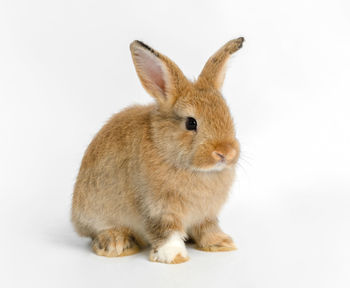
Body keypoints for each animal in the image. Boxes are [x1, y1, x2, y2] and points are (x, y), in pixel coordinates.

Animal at [72, 36, 243, 264]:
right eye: (191, 123)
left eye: (228, 115)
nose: (226, 153)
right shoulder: (157, 208)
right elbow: (167, 232)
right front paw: (174, 256)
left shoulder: (206, 214)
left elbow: (207, 228)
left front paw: (221, 243)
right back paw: (116, 243)